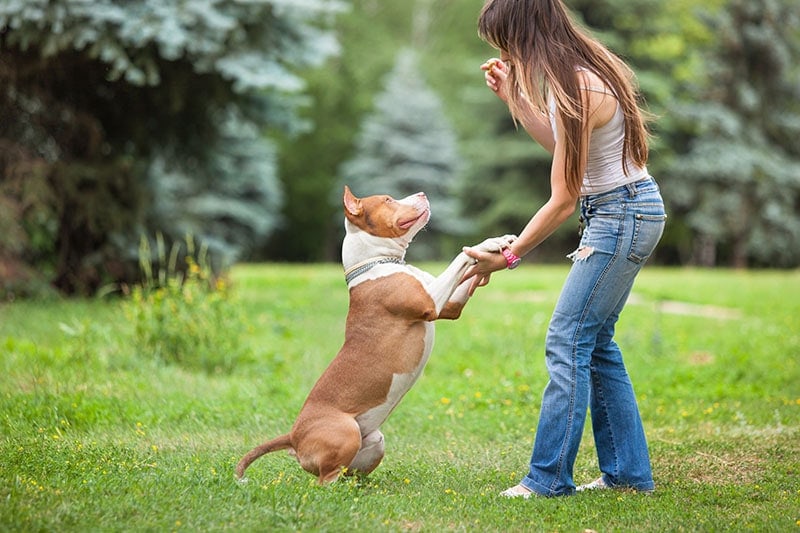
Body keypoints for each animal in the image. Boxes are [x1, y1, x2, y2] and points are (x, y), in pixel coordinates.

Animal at [234, 186, 516, 482]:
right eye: (388, 200)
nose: (422, 192)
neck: (377, 262)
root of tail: (293, 435)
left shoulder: (450, 306)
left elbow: (464, 276)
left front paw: (497, 242)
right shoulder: (430, 302)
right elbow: (459, 259)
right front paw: (487, 246)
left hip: (374, 441)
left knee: (349, 472)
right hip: (345, 432)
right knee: (325, 479)